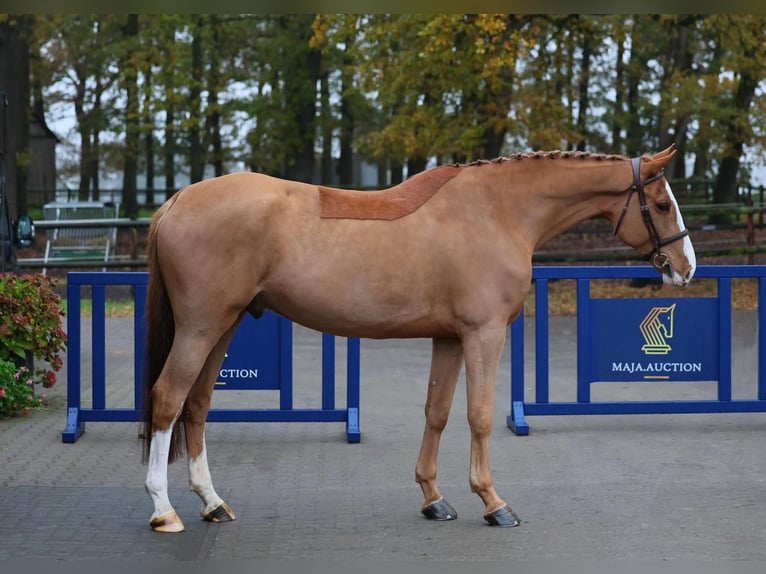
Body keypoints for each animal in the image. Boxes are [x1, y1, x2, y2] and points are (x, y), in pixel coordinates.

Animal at [141, 146, 700, 532]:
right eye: (660, 204)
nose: (686, 268)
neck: (496, 210)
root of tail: (177, 200)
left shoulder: (449, 338)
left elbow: (438, 412)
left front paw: (434, 498)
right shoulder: (483, 334)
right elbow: (479, 416)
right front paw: (493, 503)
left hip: (225, 325)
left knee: (197, 404)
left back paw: (212, 502)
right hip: (201, 327)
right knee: (168, 398)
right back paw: (164, 510)